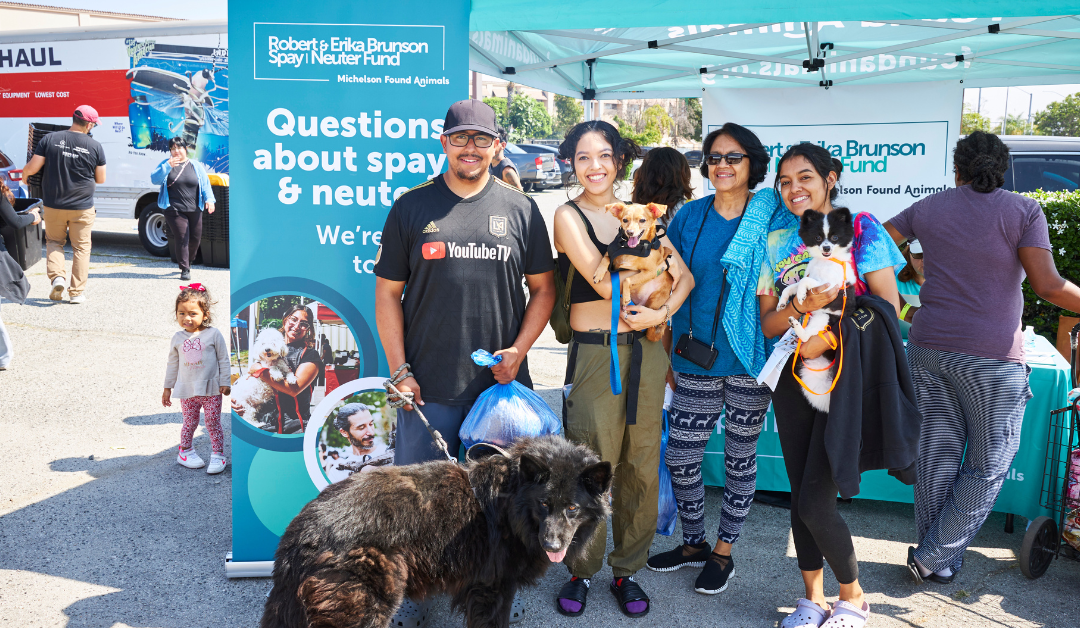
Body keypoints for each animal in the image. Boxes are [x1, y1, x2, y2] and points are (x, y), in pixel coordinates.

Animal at [260, 436, 613, 626]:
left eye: (572, 508)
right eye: (543, 503)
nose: (552, 544)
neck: (511, 501)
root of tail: (303, 528)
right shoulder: (493, 589)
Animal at [591, 201, 673, 339]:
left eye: (642, 220)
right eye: (625, 220)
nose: (629, 232)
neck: (632, 249)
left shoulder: (651, 271)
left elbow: (628, 279)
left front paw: (626, 296)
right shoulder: (614, 262)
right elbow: (606, 258)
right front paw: (599, 273)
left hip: (654, 301)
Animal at [777, 205, 851, 410]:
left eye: (835, 238)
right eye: (818, 238)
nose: (826, 248)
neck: (825, 262)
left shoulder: (829, 286)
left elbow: (805, 282)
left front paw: (802, 294)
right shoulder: (812, 277)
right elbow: (793, 285)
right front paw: (783, 302)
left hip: (823, 318)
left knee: (807, 336)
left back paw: (796, 325)